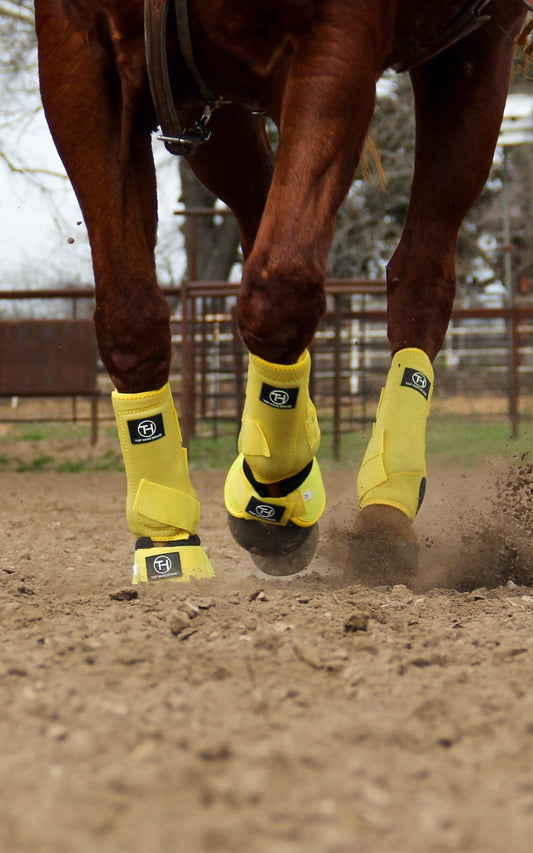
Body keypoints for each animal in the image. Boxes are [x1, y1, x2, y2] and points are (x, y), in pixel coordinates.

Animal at [34, 0, 528, 584]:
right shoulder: (80, 57)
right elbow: (129, 320)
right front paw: (166, 545)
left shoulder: (337, 42)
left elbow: (281, 291)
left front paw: (275, 499)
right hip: (212, 95)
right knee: (259, 206)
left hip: (474, 51)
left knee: (419, 276)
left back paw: (385, 507)